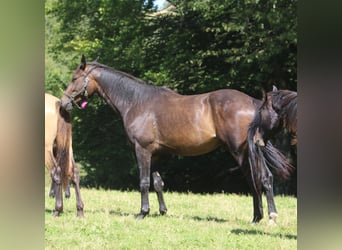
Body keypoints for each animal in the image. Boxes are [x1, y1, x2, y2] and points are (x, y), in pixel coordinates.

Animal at [60, 55, 290, 224]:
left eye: (74, 78)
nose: (63, 103)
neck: (136, 102)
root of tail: (254, 103)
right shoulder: (155, 154)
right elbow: (158, 182)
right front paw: (162, 211)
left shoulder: (141, 150)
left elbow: (144, 182)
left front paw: (142, 212)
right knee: (264, 178)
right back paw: (261, 217)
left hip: (241, 151)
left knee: (257, 178)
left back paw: (264, 217)